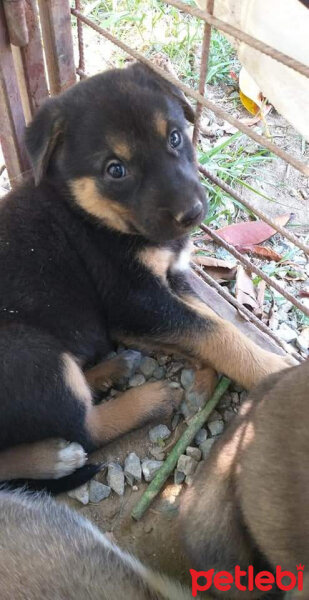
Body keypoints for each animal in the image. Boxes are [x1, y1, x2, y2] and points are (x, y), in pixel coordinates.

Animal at [0, 62, 288, 492]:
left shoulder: (170, 281)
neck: (92, 217)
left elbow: (211, 321)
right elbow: (216, 333)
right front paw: (273, 370)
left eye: (174, 137)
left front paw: (204, 380)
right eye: (115, 170)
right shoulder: (136, 302)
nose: (193, 213)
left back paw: (111, 372)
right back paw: (141, 405)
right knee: (85, 429)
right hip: (31, 353)